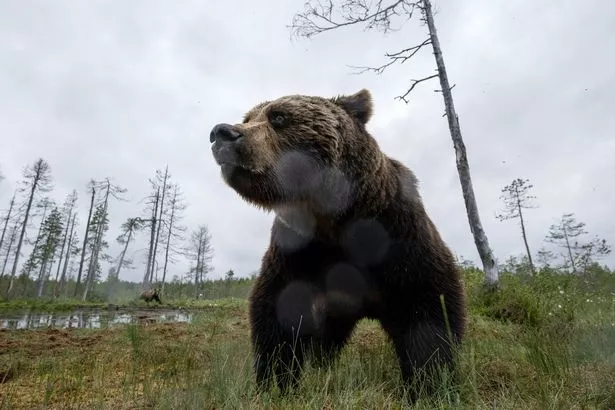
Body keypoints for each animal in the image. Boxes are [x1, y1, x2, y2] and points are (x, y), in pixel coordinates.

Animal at [211, 88, 466, 398]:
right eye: (248, 117)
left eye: (279, 116)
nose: (222, 132)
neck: (336, 221)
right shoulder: (298, 251)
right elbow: (278, 314)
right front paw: (276, 382)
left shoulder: (399, 241)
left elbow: (428, 312)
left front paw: (430, 384)